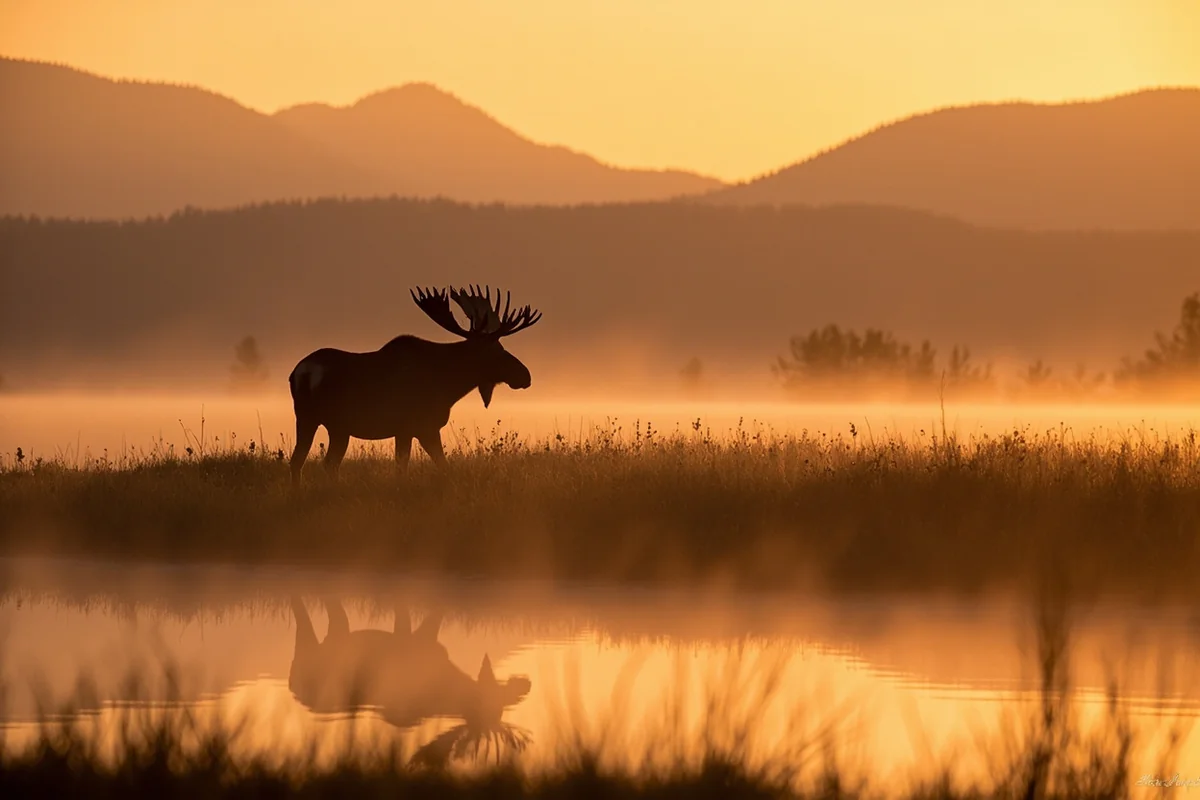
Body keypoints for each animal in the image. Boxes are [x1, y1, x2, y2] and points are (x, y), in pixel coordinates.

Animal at [287, 285, 542, 484]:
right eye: (496, 351)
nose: (525, 375)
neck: (449, 386)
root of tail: (301, 373)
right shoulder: (419, 427)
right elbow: (424, 466)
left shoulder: (411, 430)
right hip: (330, 422)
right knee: (317, 463)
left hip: (322, 423)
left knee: (305, 462)